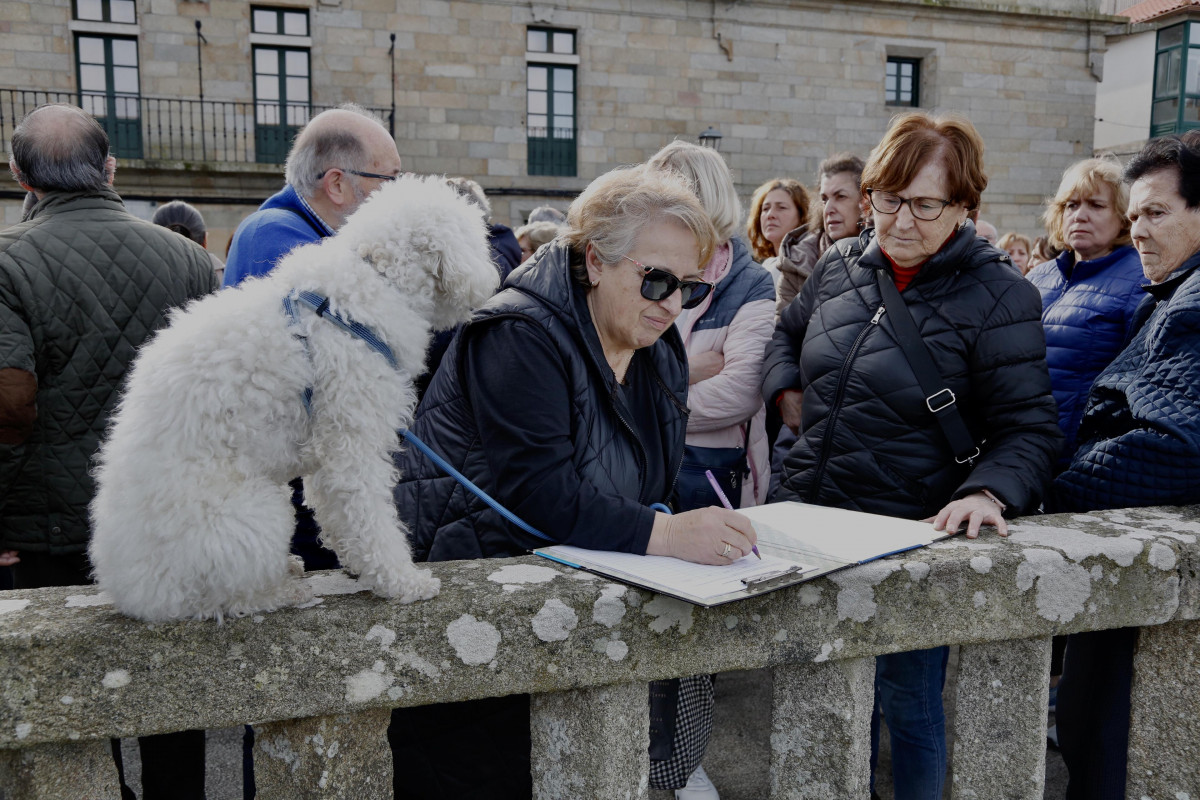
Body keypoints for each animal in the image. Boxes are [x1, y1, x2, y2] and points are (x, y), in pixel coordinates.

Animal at [90, 176, 496, 623]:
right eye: (476, 234)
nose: (493, 278)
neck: (372, 275)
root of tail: (134, 594)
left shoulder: (327, 450)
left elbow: (340, 516)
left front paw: (360, 566)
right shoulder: (352, 443)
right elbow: (371, 517)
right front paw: (401, 580)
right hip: (253, 514)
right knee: (222, 600)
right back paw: (283, 592)